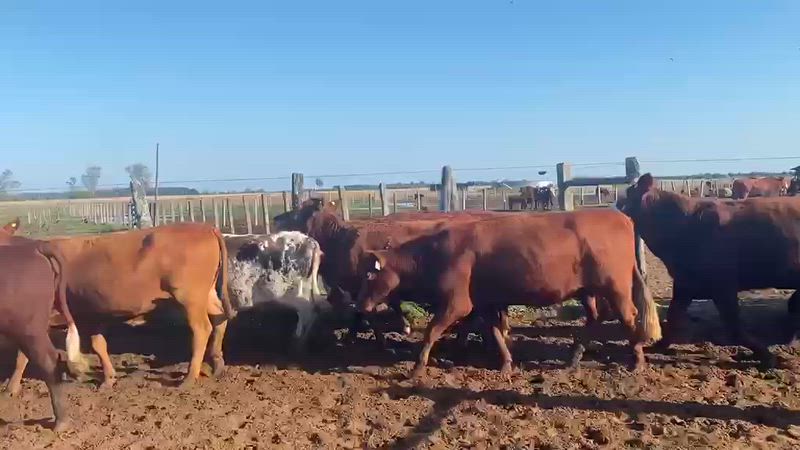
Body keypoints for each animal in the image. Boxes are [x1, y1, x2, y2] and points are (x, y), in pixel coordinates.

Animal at [0, 223, 236, 390]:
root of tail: (205, 227)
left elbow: (22, 355)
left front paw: (11, 387)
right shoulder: (92, 314)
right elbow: (99, 345)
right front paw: (107, 378)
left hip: (190, 298)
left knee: (201, 329)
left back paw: (189, 376)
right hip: (207, 295)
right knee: (219, 318)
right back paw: (217, 363)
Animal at [356, 210, 661, 378]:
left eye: (369, 275)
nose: (361, 306)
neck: (435, 251)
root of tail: (620, 216)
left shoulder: (457, 303)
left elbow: (431, 332)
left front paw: (417, 367)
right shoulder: (484, 303)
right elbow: (494, 332)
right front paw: (506, 363)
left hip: (616, 286)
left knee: (628, 316)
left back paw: (637, 360)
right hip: (590, 290)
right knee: (598, 317)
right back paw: (573, 358)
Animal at [619, 173, 800, 369]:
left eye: (624, 199)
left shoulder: (722, 286)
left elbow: (733, 326)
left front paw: (768, 356)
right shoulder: (685, 283)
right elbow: (674, 314)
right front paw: (658, 345)